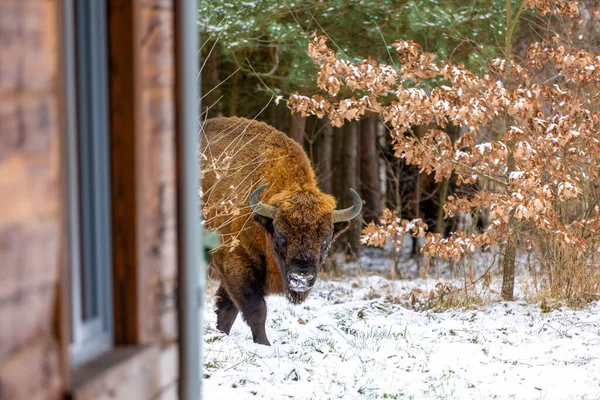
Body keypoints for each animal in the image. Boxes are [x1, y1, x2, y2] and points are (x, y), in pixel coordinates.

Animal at [202, 117, 360, 346]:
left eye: (325, 241)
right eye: (281, 236)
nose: (301, 278)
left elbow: (227, 310)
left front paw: (220, 335)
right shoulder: (236, 263)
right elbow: (256, 309)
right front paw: (264, 344)